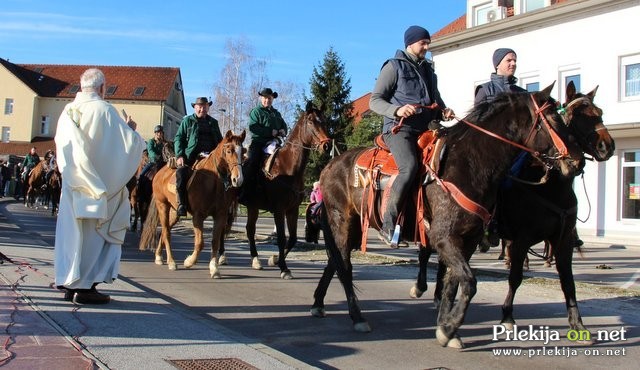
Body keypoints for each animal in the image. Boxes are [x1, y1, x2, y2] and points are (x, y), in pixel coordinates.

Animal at [139, 130, 246, 278]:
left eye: (243, 152)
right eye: (229, 151)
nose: (238, 179)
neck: (213, 181)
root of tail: (160, 172)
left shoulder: (220, 216)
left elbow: (215, 242)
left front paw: (214, 268)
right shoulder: (198, 216)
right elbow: (200, 243)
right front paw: (189, 261)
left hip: (175, 212)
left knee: (166, 231)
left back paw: (159, 256)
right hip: (163, 206)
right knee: (166, 232)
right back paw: (171, 262)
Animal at [219, 99, 330, 278]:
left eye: (325, 121)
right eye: (311, 121)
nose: (327, 145)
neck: (288, 168)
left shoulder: (292, 209)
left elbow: (292, 238)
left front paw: (275, 260)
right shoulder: (279, 210)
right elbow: (281, 238)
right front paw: (284, 268)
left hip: (253, 206)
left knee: (250, 230)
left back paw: (255, 260)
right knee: (224, 226)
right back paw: (222, 256)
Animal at [310, 83, 584, 346]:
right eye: (552, 117)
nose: (577, 160)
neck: (469, 165)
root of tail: (329, 166)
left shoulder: (468, 240)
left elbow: (453, 283)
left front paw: (445, 325)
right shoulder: (445, 237)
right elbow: (469, 282)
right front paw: (450, 328)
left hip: (355, 227)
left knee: (335, 262)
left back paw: (318, 303)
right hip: (341, 222)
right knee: (345, 267)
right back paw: (357, 317)